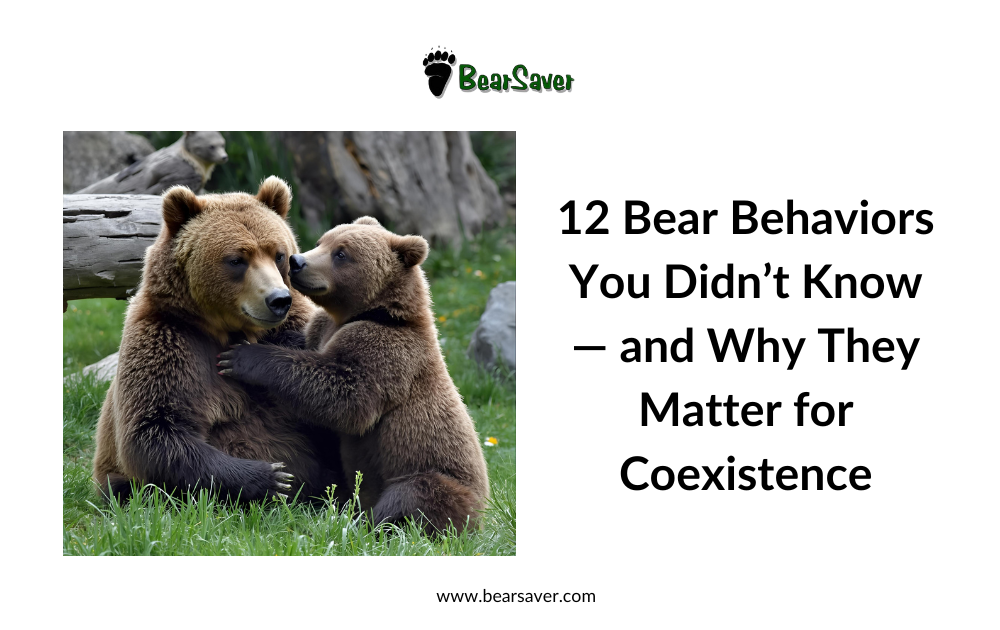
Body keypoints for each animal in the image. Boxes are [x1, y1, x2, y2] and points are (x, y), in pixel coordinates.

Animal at [92, 177, 344, 504]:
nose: (278, 300)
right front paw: (272, 477)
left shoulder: (295, 330)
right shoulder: (167, 339)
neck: (227, 329)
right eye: (237, 259)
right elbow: (155, 429)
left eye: (278, 254)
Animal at [217, 216, 490, 533]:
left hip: (437, 478)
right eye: (322, 241)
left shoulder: (387, 350)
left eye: (341, 254)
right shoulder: (320, 330)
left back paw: (362, 523)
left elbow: (347, 395)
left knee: (411, 497)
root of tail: (482, 519)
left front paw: (241, 356)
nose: (297, 261)